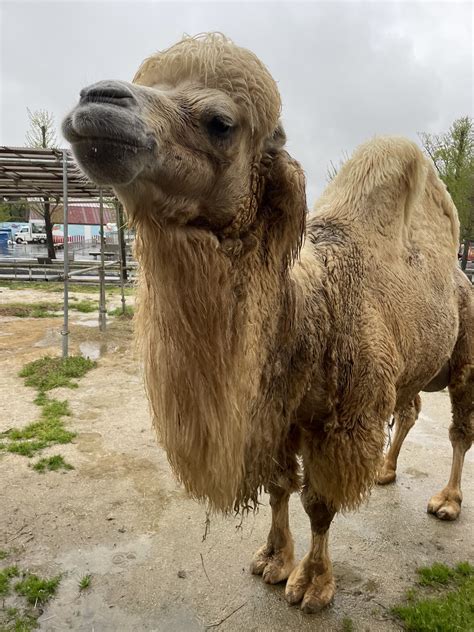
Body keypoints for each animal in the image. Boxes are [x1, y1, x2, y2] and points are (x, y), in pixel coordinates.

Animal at [62, 33, 470, 612]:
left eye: (220, 123)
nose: (96, 99)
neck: (305, 313)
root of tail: (460, 271)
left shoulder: (338, 422)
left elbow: (318, 504)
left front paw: (313, 584)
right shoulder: (275, 416)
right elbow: (279, 487)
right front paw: (273, 560)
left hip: (466, 348)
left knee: (460, 429)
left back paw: (447, 501)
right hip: (411, 366)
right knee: (410, 408)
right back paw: (386, 471)